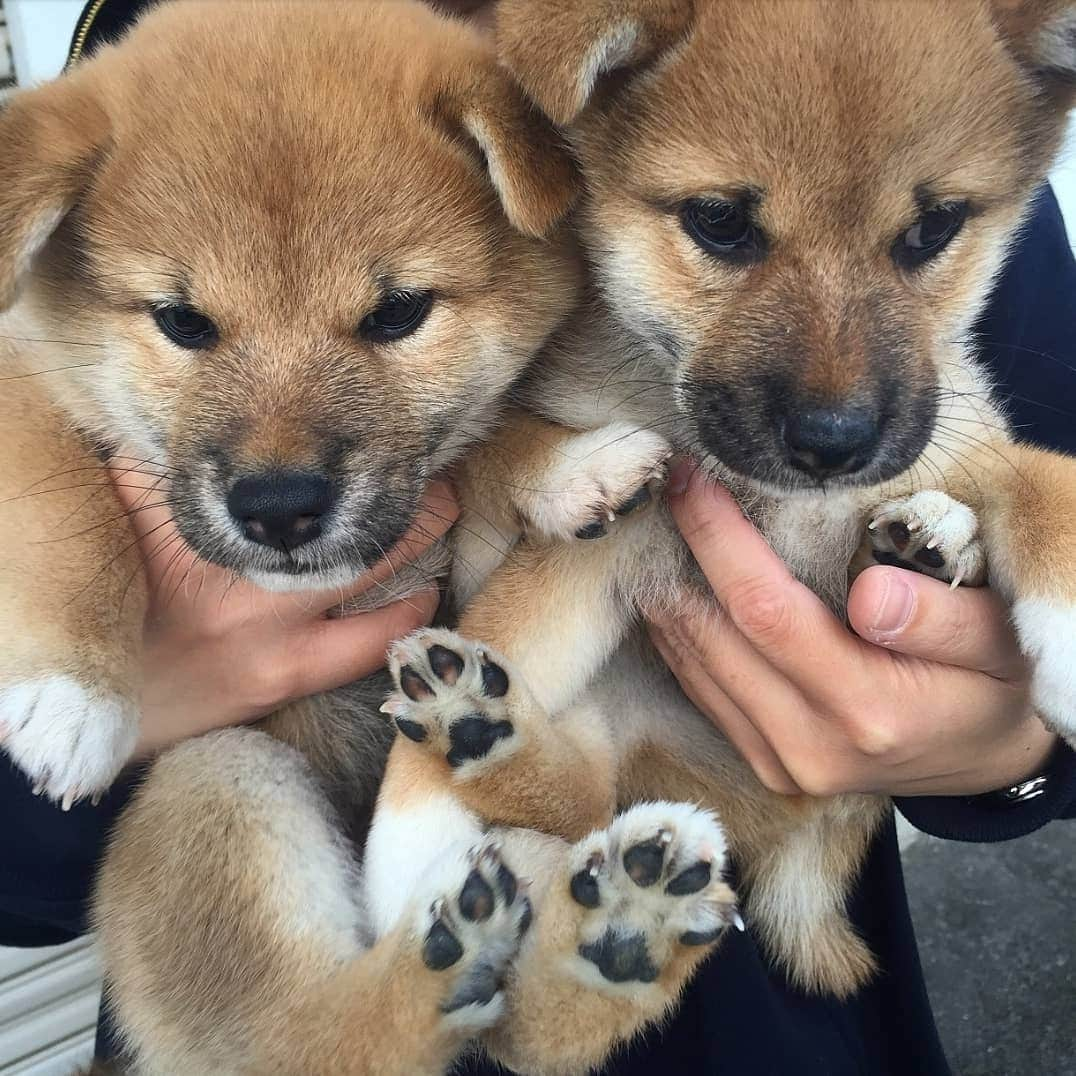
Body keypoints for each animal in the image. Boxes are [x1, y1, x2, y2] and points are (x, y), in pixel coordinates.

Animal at [365, 4, 1076, 1071]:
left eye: (934, 228)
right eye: (721, 222)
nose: (833, 442)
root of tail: (791, 845)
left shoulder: (972, 445)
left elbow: (1044, 486)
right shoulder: (609, 543)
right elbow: (506, 614)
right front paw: (404, 866)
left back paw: (926, 541)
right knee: (582, 806)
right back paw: (484, 735)